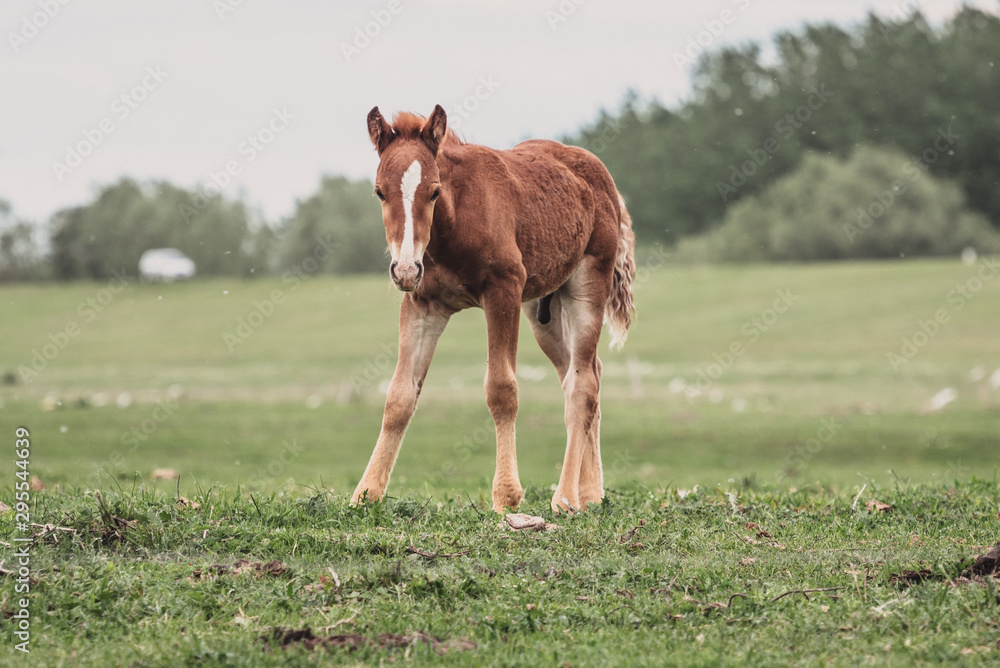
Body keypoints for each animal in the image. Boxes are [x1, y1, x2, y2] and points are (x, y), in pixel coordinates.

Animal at [350, 104, 636, 514]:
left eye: (434, 190)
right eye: (379, 192)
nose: (405, 269)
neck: (454, 226)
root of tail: (602, 176)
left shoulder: (503, 292)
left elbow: (502, 390)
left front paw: (507, 496)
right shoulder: (423, 305)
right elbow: (400, 396)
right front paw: (366, 493)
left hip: (587, 286)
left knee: (582, 385)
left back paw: (565, 497)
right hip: (543, 312)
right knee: (585, 374)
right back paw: (591, 493)